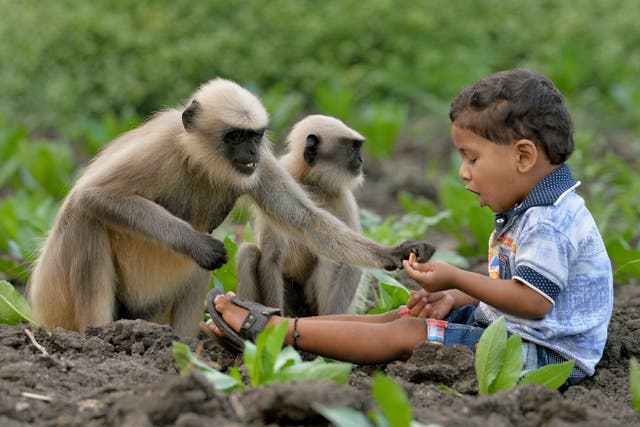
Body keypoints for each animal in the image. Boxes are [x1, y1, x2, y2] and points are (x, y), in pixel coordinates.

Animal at [236, 115, 370, 316]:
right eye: (353, 148)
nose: (361, 159)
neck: (311, 180)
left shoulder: (344, 197)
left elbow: (351, 261)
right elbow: (271, 256)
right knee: (248, 252)